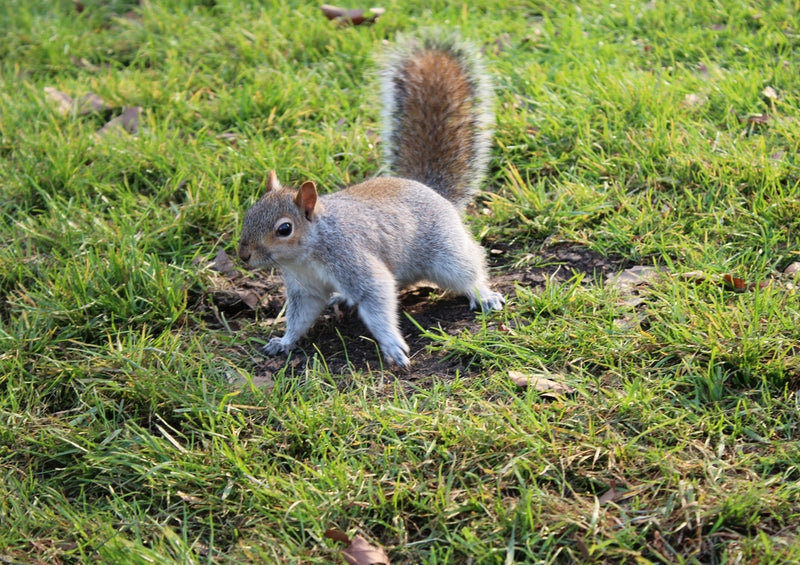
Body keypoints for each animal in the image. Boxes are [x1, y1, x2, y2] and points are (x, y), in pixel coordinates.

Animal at [234, 33, 506, 368]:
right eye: (249, 213)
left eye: (284, 229)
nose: (244, 255)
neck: (308, 254)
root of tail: (429, 189)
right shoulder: (305, 288)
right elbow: (300, 317)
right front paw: (284, 342)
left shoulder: (353, 260)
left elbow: (377, 298)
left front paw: (392, 345)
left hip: (446, 251)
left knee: (467, 269)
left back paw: (483, 294)